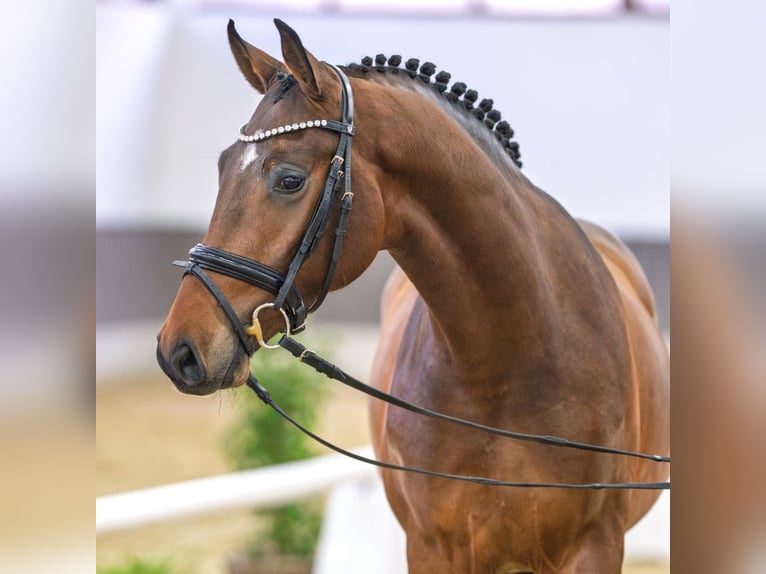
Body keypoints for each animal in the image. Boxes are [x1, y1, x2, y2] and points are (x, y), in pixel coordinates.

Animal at [156, 19, 669, 573]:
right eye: (223, 167)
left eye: (289, 179)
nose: (178, 351)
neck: (506, 367)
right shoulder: (432, 547)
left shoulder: (594, 546)